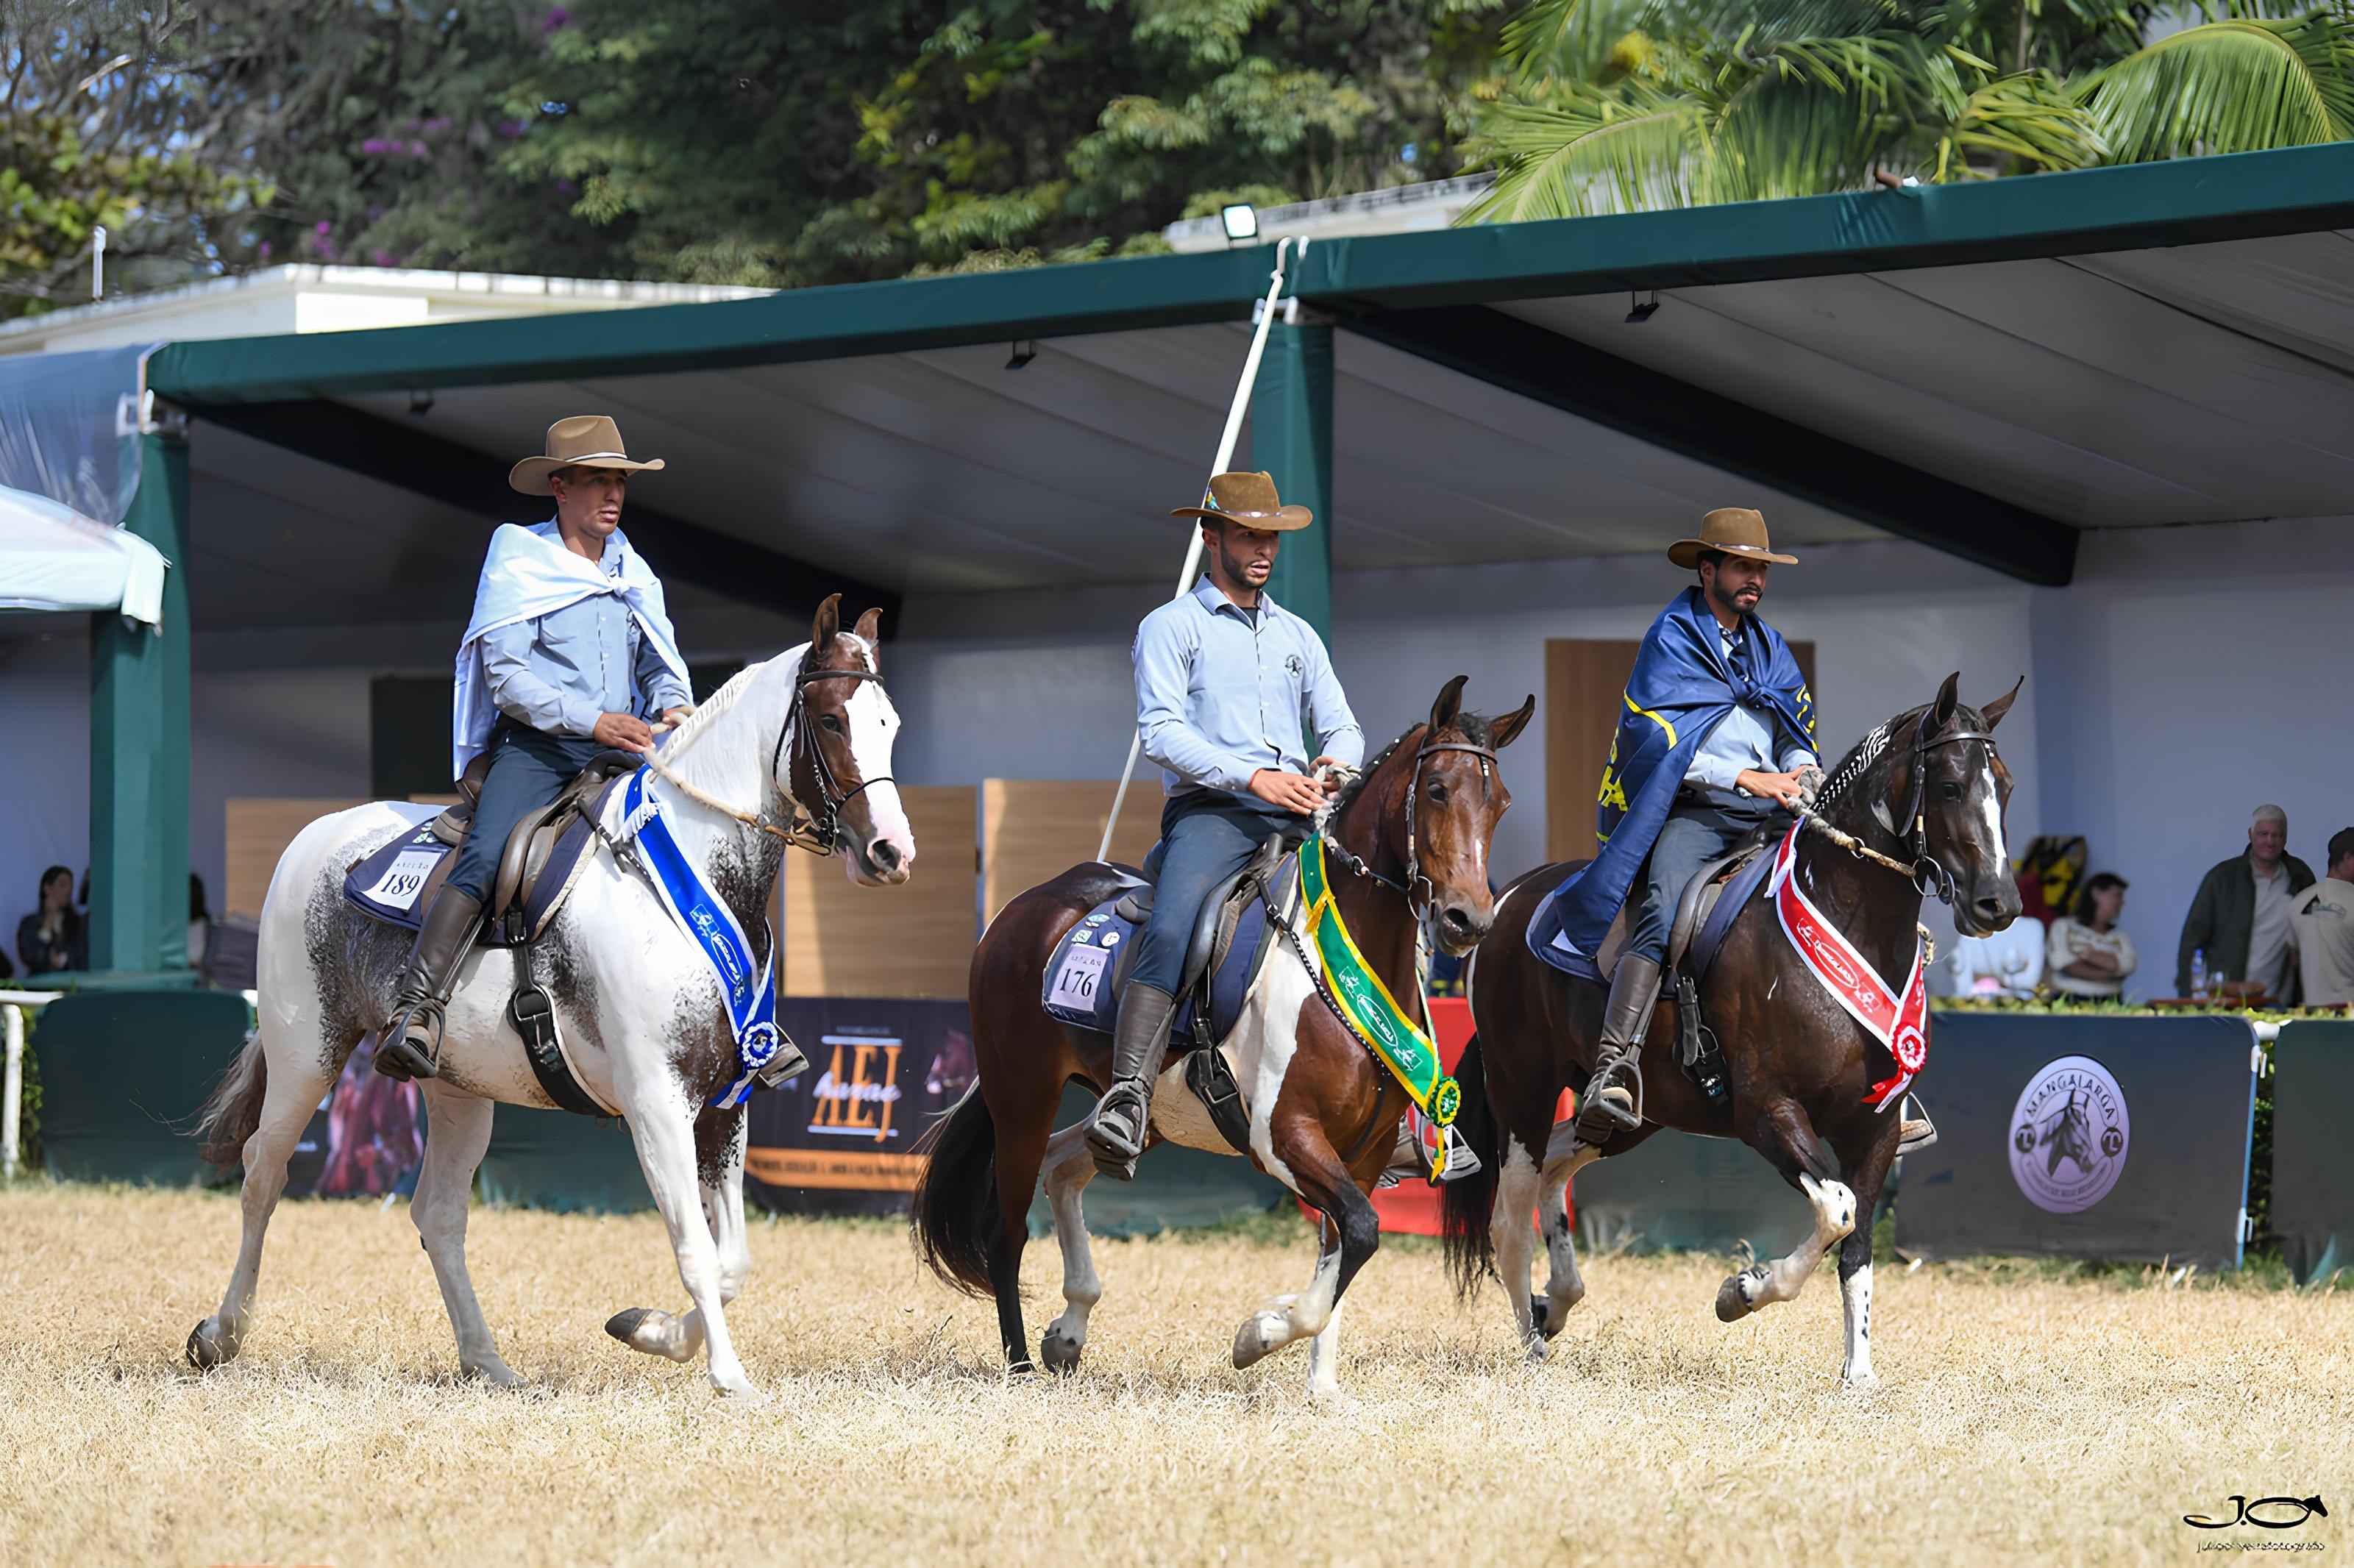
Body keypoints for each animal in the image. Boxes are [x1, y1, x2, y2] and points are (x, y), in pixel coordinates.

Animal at [186, 594, 914, 1398]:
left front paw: (649, 1330)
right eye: (831, 720)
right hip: (306, 1053)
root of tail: (318, 832)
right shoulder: (656, 1103)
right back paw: (220, 1335)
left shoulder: (724, 1105)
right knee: (263, 1172)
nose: (891, 851)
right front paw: (728, 1376)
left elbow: (732, 1262)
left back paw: (486, 1360)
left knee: (438, 1214)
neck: (685, 874)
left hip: (456, 1087)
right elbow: (695, 1249)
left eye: (890, 725)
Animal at [912, 676, 1532, 1401]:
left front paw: (1322, 1388)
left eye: (1501, 802)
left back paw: (1069, 1329)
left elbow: (1345, 1252)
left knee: (1067, 1162)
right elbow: (1358, 1235)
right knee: (1007, 1229)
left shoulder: (1365, 1152)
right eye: (1436, 788)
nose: (1468, 921)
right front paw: (1258, 1334)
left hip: (1142, 1113)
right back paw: (1018, 1364)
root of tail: (1025, 907)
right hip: (1021, 1102)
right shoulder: (1284, 1135)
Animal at [1441, 672, 2020, 1386]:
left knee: (1556, 1165)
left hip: (1632, 1113)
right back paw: (1532, 1345)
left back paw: (1559, 1299)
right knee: (1509, 1215)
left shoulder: (1877, 1127)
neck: (1840, 917)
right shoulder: (1768, 1111)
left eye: (2006, 786)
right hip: (1520, 1085)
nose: (1999, 903)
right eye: (1950, 787)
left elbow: (1857, 1242)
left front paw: (1859, 1374)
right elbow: (1835, 1209)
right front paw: (1742, 1291)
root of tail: (1507, 899)